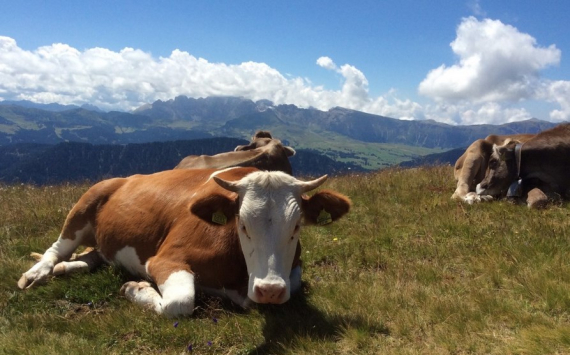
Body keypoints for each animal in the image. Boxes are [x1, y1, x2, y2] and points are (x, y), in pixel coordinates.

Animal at [17, 168, 350, 318]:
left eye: (297, 226)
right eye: (242, 224)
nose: (269, 290)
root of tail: (125, 178)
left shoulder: (292, 271)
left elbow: (291, 285)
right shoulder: (166, 259)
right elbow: (180, 302)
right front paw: (136, 288)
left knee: (95, 253)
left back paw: (68, 268)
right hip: (85, 203)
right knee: (57, 247)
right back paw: (39, 273)